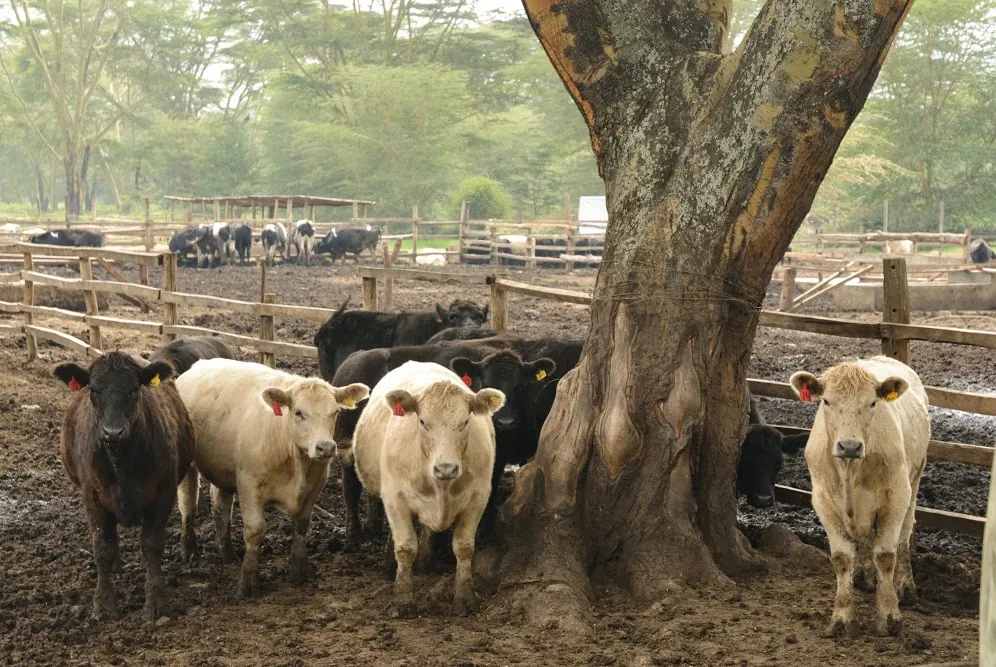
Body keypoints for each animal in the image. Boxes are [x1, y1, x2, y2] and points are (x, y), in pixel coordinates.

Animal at [53, 352, 195, 621]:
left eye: (133, 389)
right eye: (94, 389)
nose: (113, 432)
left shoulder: (164, 494)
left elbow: (152, 544)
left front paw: (156, 601)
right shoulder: (92, 497)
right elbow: (102, 548)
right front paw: (104, 604)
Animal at [174, 358, 368, 597]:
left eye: (335, 412)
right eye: (298, 412)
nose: (325, 447)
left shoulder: (315, 486)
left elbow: (301, 526)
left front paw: (298, 572)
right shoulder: (249, 485)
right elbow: (255, 531)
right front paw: (248, 582)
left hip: (223, 472)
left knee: (221, 508)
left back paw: (227, 553)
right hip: (188, 468)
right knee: (187, 504)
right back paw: (188, 549)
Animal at [352, 361, 504, 617]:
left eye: (465, 422)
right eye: (423, 421)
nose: (446, 468)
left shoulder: (478, 497)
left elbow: (464, 548)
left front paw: (464, 598)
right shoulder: (395, 498)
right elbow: (404, 547)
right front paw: (403, 599)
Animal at [790, 355, 929, 637]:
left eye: (872, 402)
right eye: (826, 401)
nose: (850, 446)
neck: (850, 471)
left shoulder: (896, 496)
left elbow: (885, 555)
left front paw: (889, 616)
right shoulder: (823, 501)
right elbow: (842, 558)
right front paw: (842, 618)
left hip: (914, 480)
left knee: (904, 535)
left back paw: (905, 585)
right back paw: (864, 575)